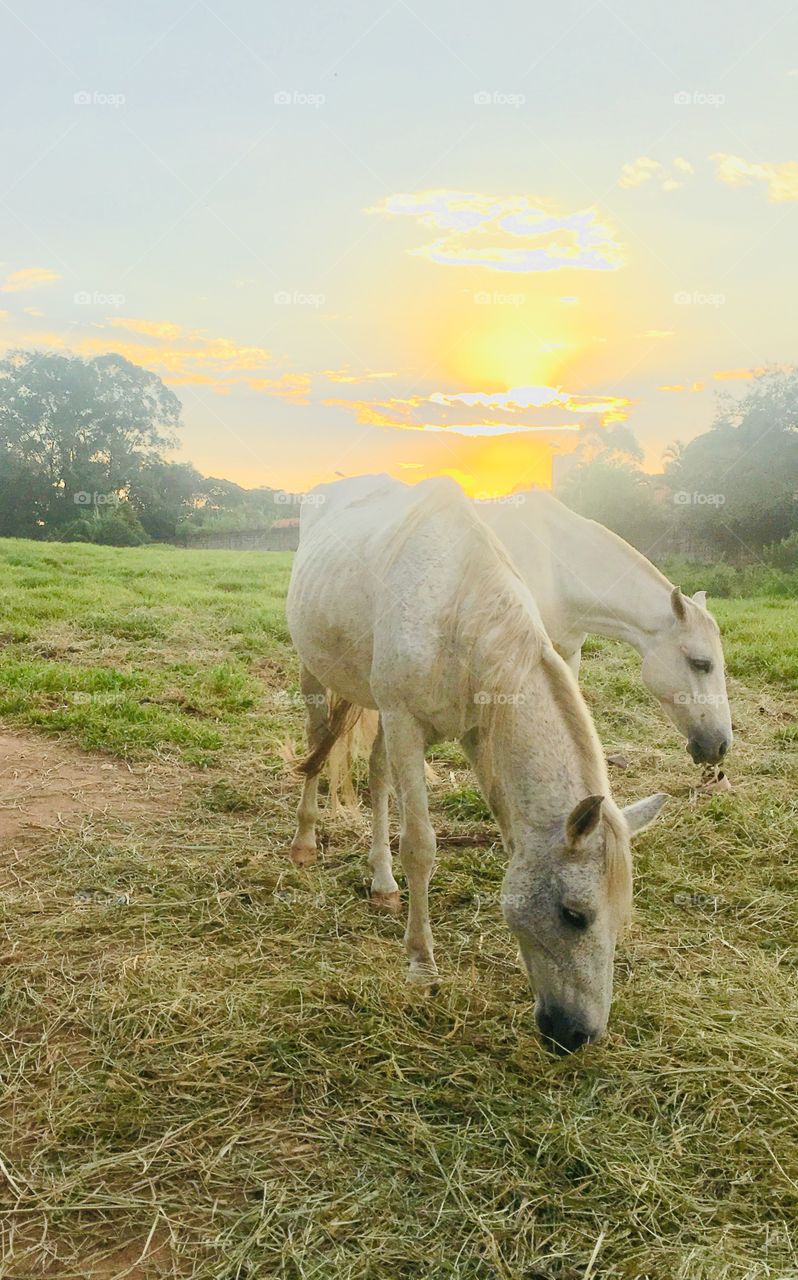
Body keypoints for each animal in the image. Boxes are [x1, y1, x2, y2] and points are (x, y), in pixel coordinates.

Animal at [286, 476, 667, 1054]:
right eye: (574, 915)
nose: (577, 1035)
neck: (456, 612)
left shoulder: (464, 731)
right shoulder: (405, 722)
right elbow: (420, 845)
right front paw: (422, 967)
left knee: (375, 773)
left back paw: (382, 885)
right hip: (316, 672)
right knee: (317, 745)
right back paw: (306, 841)